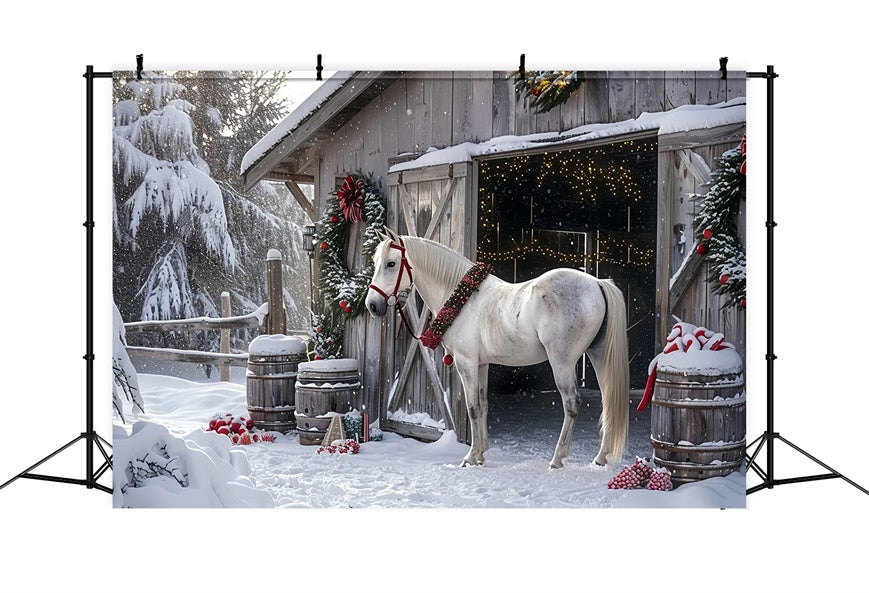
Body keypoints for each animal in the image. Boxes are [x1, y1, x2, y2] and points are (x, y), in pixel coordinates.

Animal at [365, 229, 629, 469]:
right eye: (376, 262)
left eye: (391, 263)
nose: (372, 305)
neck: (462, 298)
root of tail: (597, 283)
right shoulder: (481, 364)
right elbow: (483, 405)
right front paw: (481, 454)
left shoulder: (466, 363)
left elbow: (472, 408)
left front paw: (470, 457)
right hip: (598, 355)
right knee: (607, 399)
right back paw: (600, 458)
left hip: (562, 362)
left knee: (572, 403)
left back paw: (557, 459)